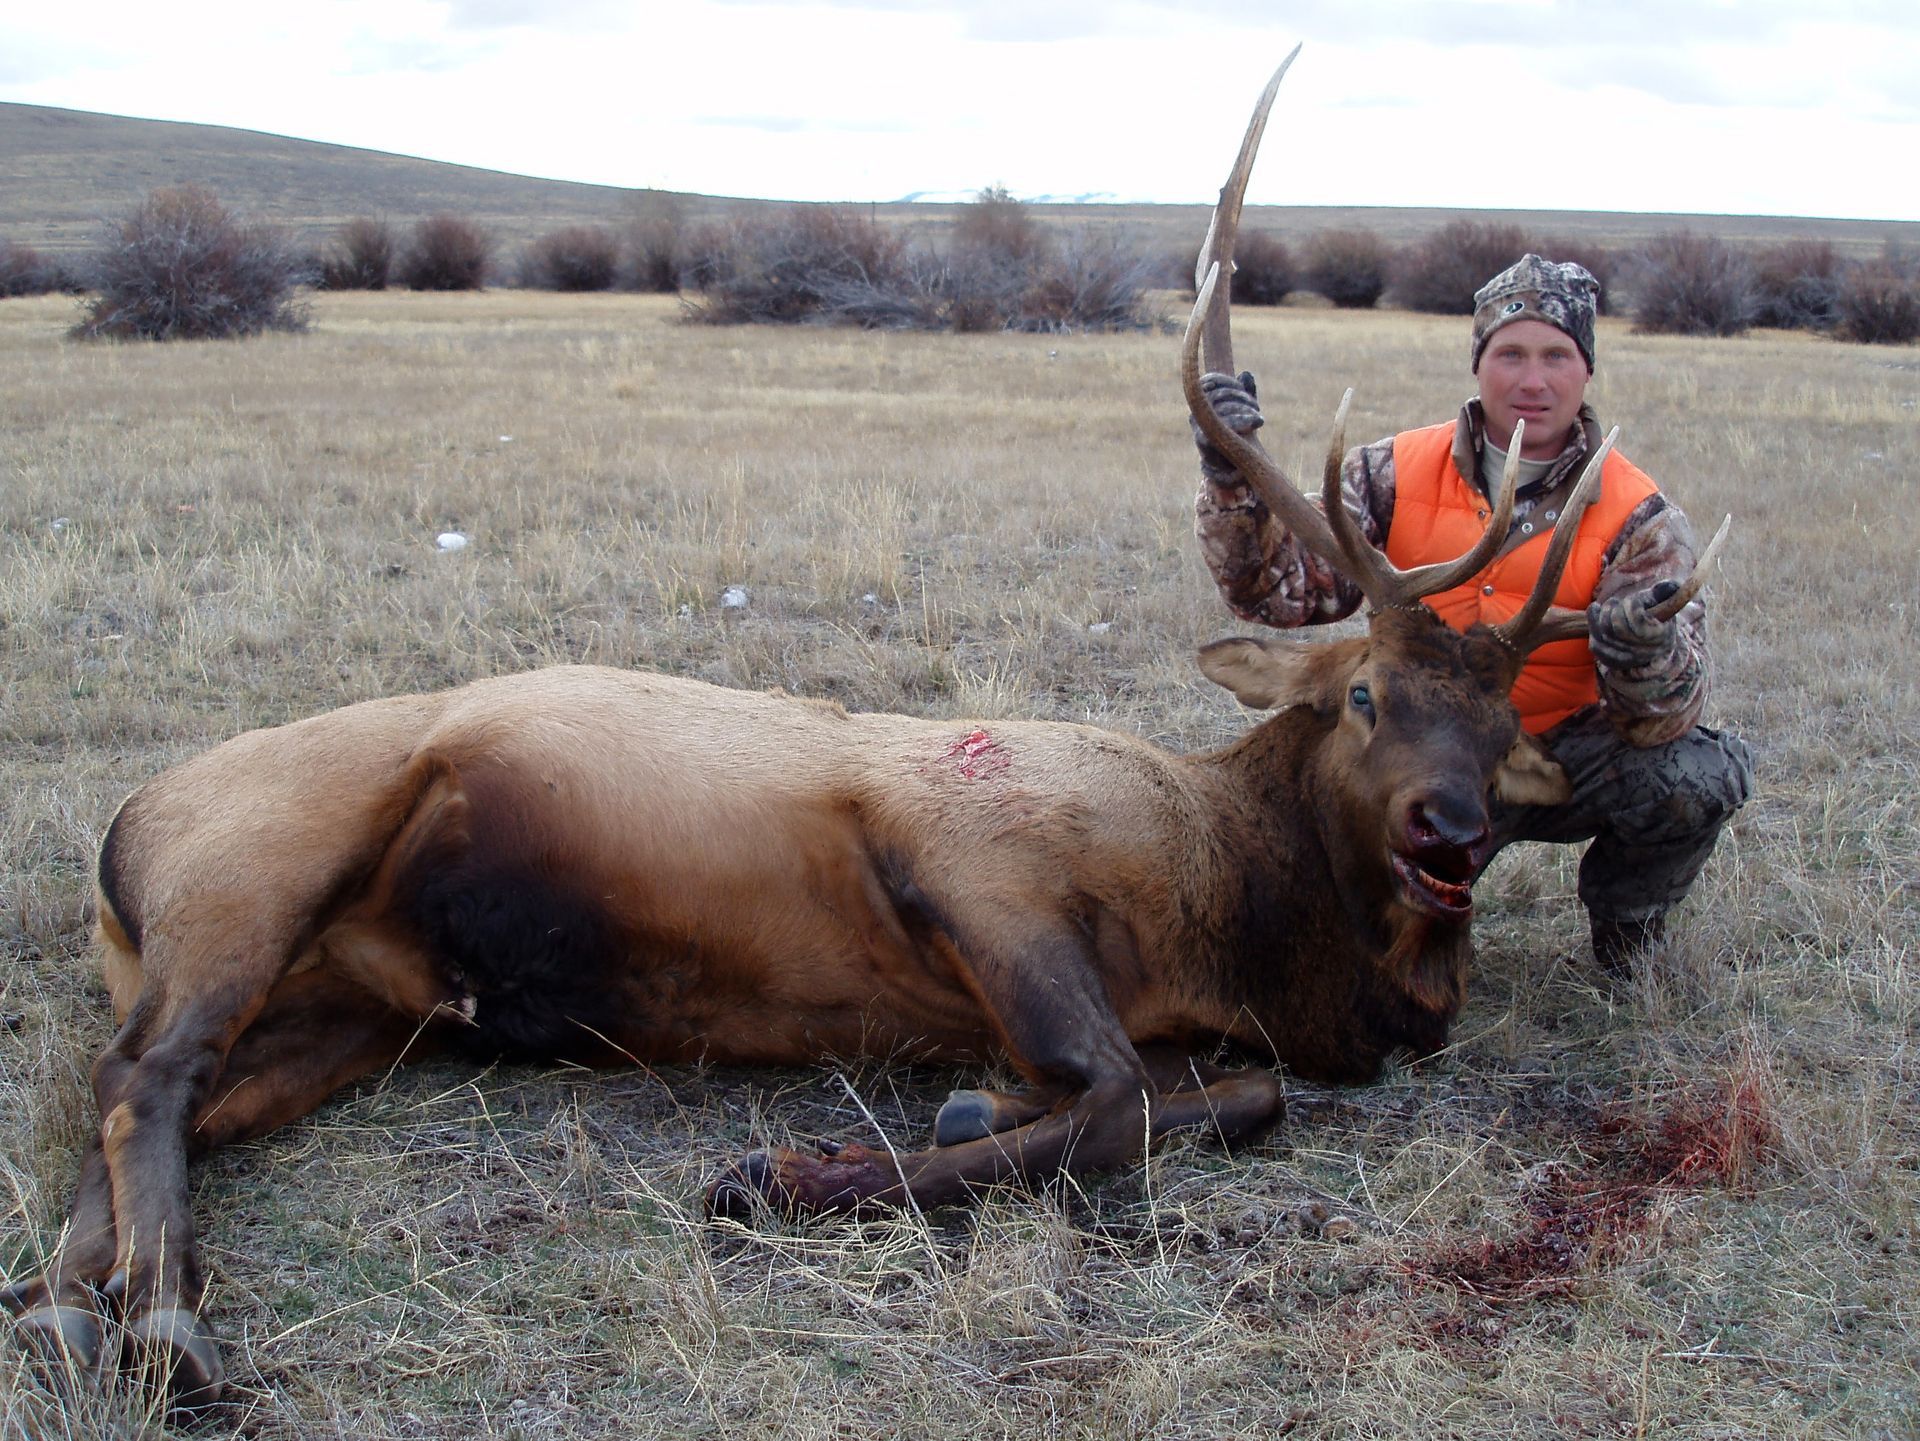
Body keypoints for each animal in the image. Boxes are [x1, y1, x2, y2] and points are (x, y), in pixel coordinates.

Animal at [5, 52, 1723, 1414]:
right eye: (1365, 695)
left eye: (1503, 729)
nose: (1449, 833)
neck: (1238, 914)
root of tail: (118, 844)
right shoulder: (977, 862)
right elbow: (1113, 1095)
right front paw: (792, 1170)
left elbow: (1222, 1097)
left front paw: (959, 1107)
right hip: (262, 859)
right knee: (143, 1069)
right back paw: (161, 1327)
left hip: (358, 1005)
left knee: (159, 1094)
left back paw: (79, 1310)